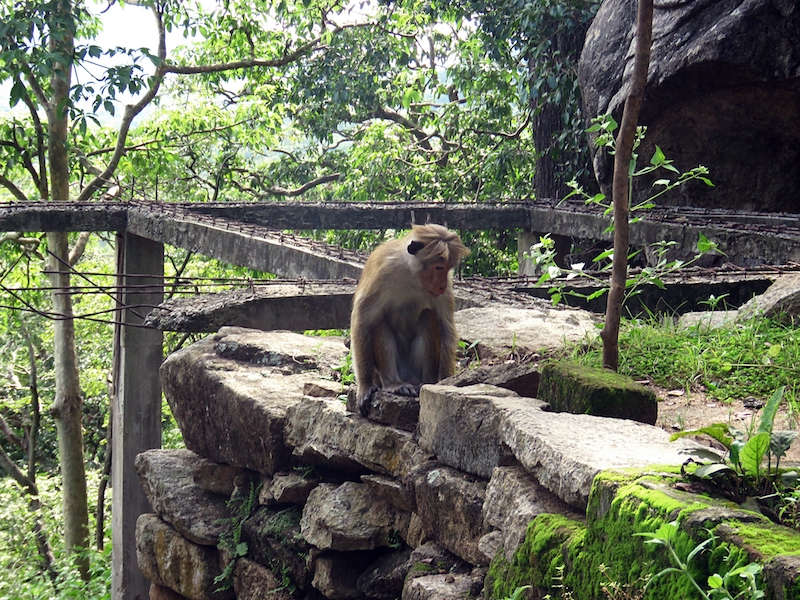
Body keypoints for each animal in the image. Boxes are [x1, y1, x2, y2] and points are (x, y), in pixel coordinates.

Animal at [350, 224, 468, 418]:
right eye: (439, 267)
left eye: (448, 268)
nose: (442, 285)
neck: (412, 274)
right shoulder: (383, 271)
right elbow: (362, 319)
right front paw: (365, 386)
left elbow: (446, 328)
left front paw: (445, 384)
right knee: (379, 322)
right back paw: (394, 384)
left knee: (428, 317)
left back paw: (425, 383)